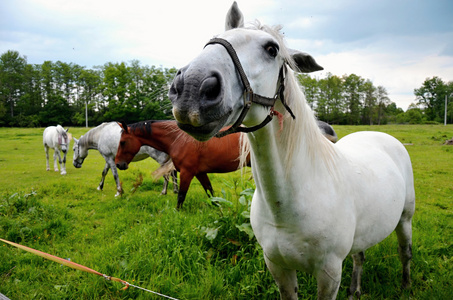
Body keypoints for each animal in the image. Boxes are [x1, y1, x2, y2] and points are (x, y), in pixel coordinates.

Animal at [115, 120, 249, 209]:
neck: (178, 139)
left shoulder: (187, 173)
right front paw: (218, 208)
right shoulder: (200, 173)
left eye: (122, 142)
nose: (118, 164)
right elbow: (210, 192)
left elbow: (181, 196)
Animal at [169, 2, 414, 300]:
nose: (192, 87)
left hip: (405, 220)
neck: (289, 204)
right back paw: (355, 290)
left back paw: (406, 286)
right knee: (360, 257)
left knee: (404, 252)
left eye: (272, 49)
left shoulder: (329, 273)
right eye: (213, 39)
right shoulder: (278, 267)